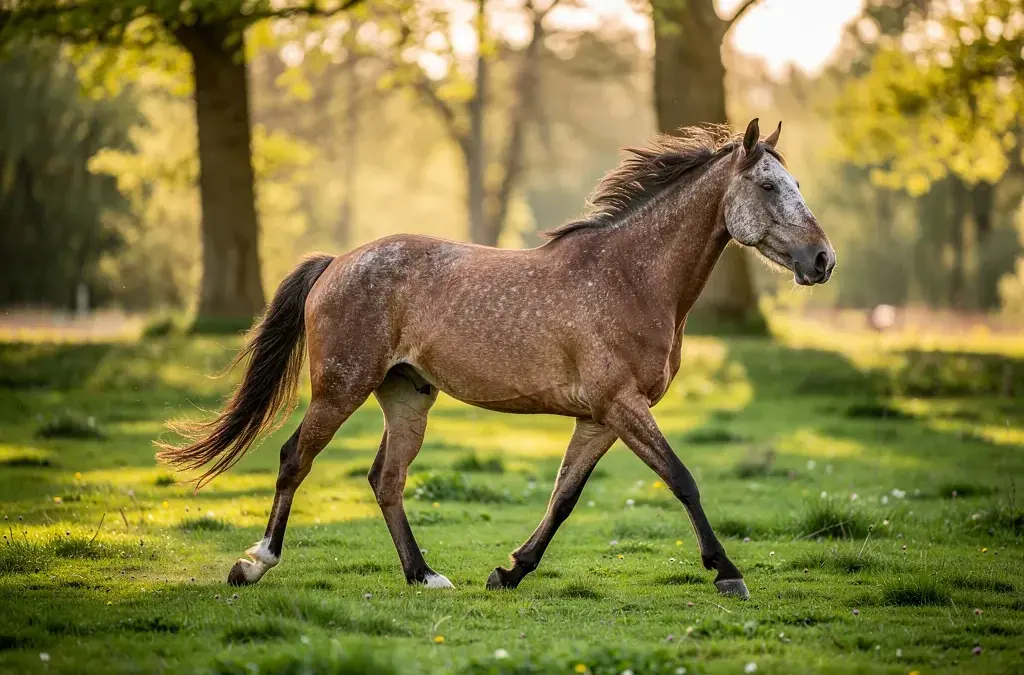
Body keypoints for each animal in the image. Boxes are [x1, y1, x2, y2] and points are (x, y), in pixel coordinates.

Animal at [157, 119, 835, 600]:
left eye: (798, 186)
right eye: (769, 186)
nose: (823, 260)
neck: (630, 278)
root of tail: (336, 263)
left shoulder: (599, 417)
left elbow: (564, 497)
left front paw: (510, 572)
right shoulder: (622, 406)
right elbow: (682, 479)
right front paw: (726, 571)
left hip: (406, 394)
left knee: (386, 480)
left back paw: (424, 575)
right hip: (340, 388)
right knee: (296, 459)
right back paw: (255, 564)